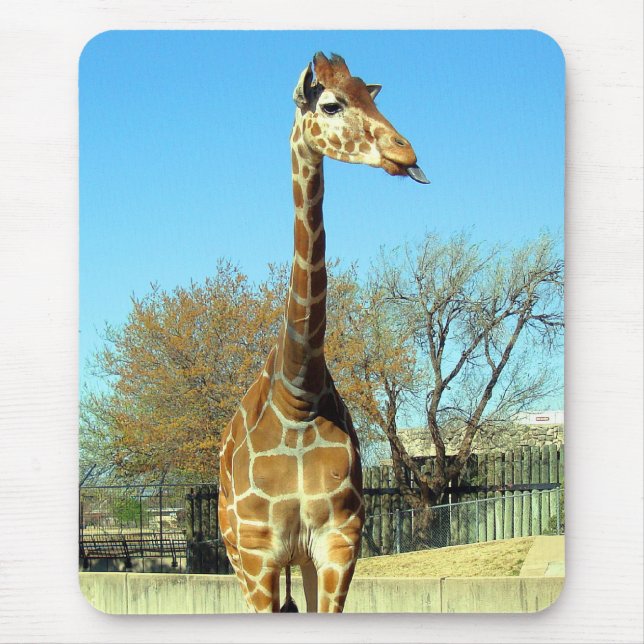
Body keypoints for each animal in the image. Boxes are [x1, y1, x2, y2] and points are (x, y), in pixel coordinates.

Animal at [218, 52, 428, 614]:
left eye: (371, 97)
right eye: (331, 104)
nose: (405, 151)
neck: (298, 392)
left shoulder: (339, 541)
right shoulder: (257, 552)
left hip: (304, 562)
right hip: (236, 554)